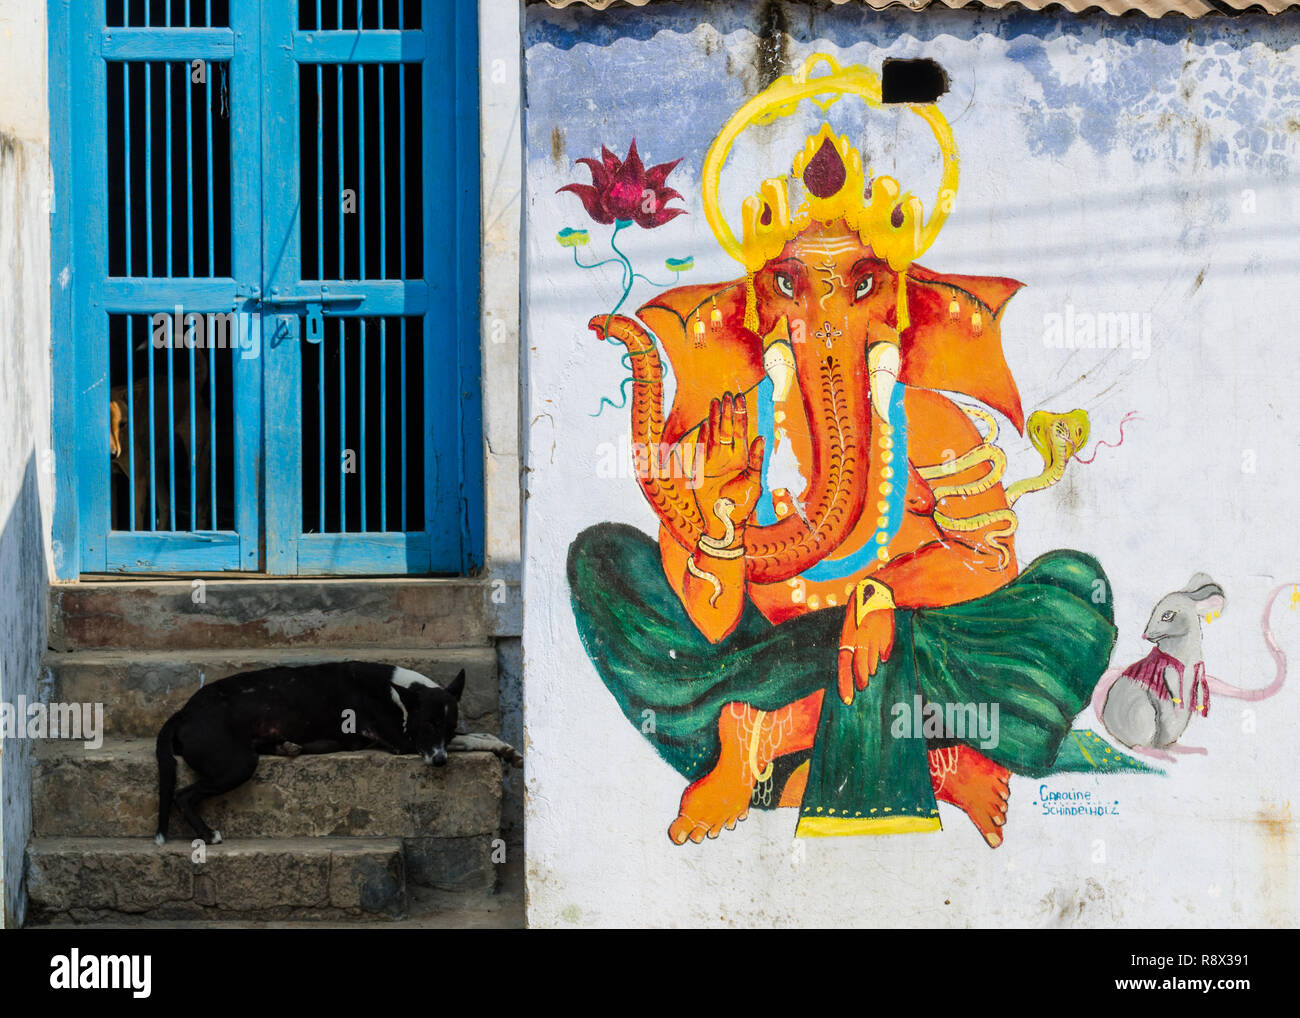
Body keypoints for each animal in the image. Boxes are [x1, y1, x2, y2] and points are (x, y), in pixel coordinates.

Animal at [154, 660, 465, 842]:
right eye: (428, 726)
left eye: (448, 728)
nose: (440, 762)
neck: (398, 692)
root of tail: (183, 713)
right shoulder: (401, 740)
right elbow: (468, 738)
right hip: (237, 764)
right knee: (182, 796)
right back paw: (208, 835)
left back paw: (288, 746)